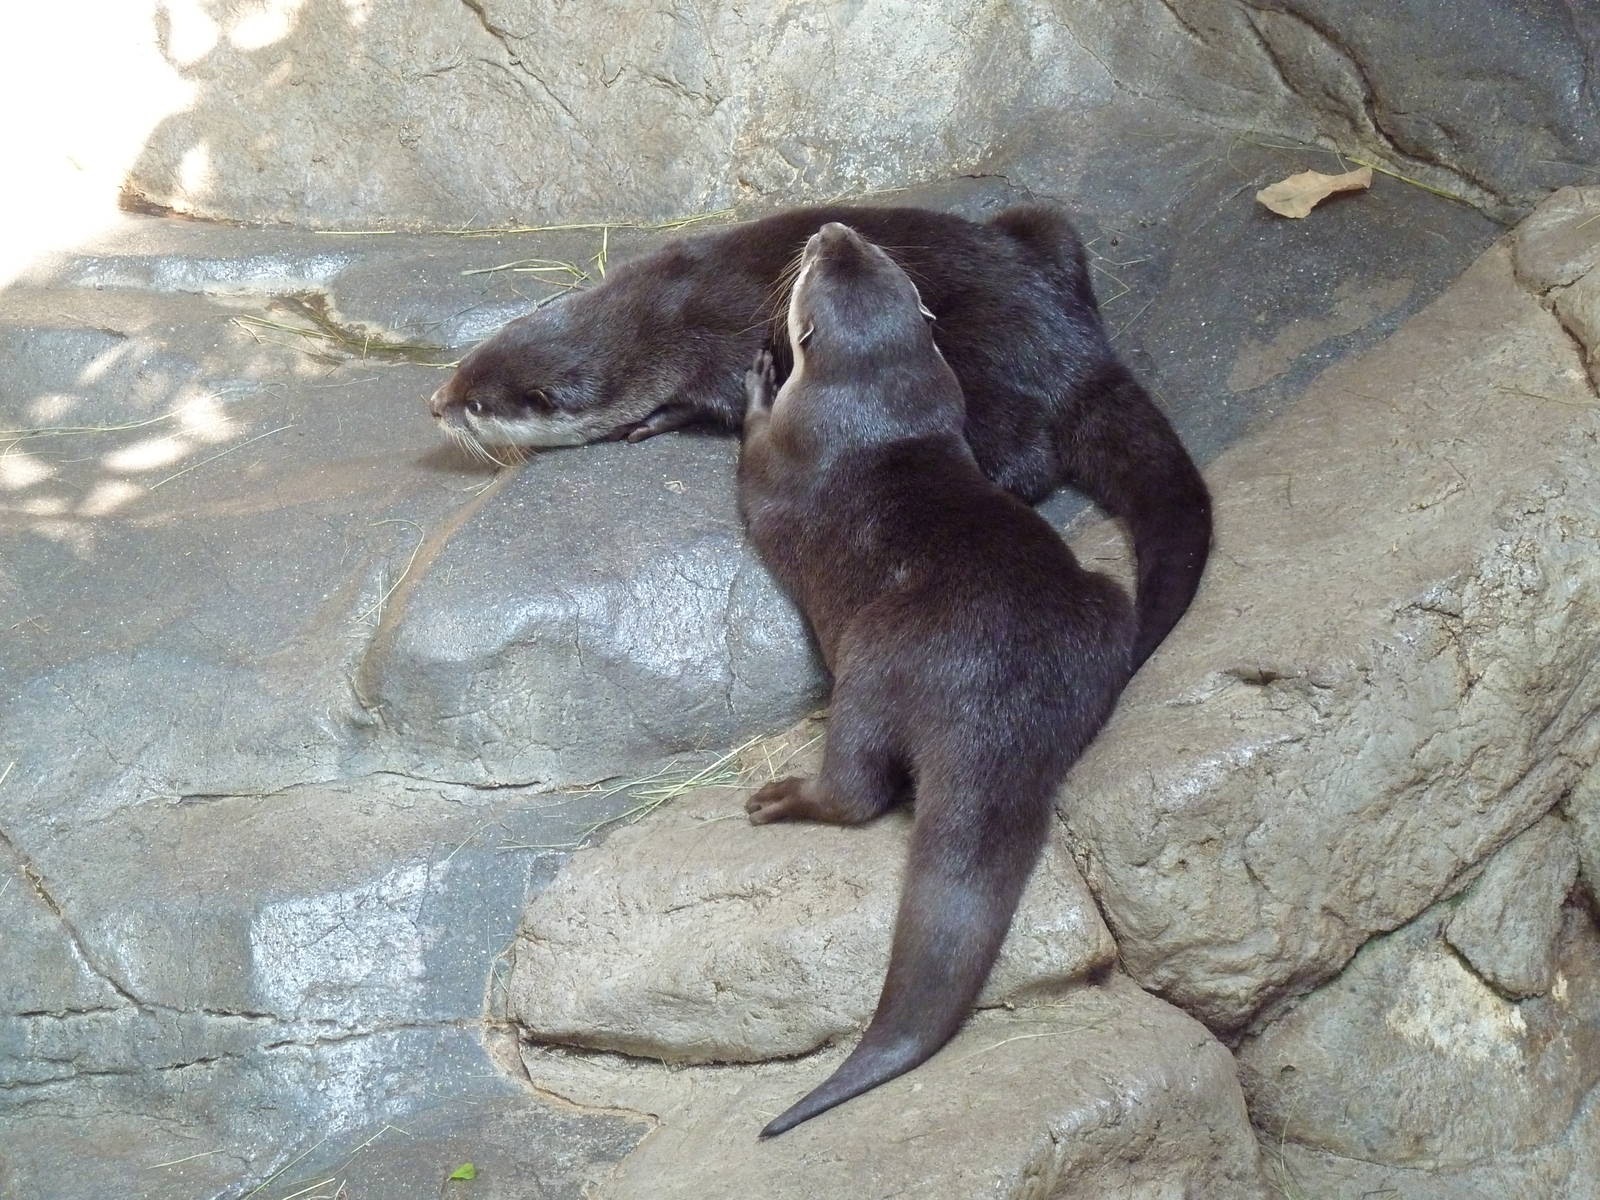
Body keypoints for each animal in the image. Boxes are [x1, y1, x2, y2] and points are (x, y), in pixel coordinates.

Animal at [430, 203, 1209, 668]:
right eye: (462, 370)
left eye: (478, 404)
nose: (435, 403)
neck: (652, 316)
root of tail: (1074, 350)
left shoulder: (715, 351)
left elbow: (714, 402)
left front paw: (650, 423)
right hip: (1042, 227)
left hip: (975, 368)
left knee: (1030, 458)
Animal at [736, 223, 1135, 1137]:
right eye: (870, 255)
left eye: (815, 272)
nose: (830, 229)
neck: (879, 425)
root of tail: (999, 698)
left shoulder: (775, 469)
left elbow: (750, 461)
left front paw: (759, 377)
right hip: (1105, 613)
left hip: (873, 659)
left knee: (857, 790)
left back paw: (783, 799)